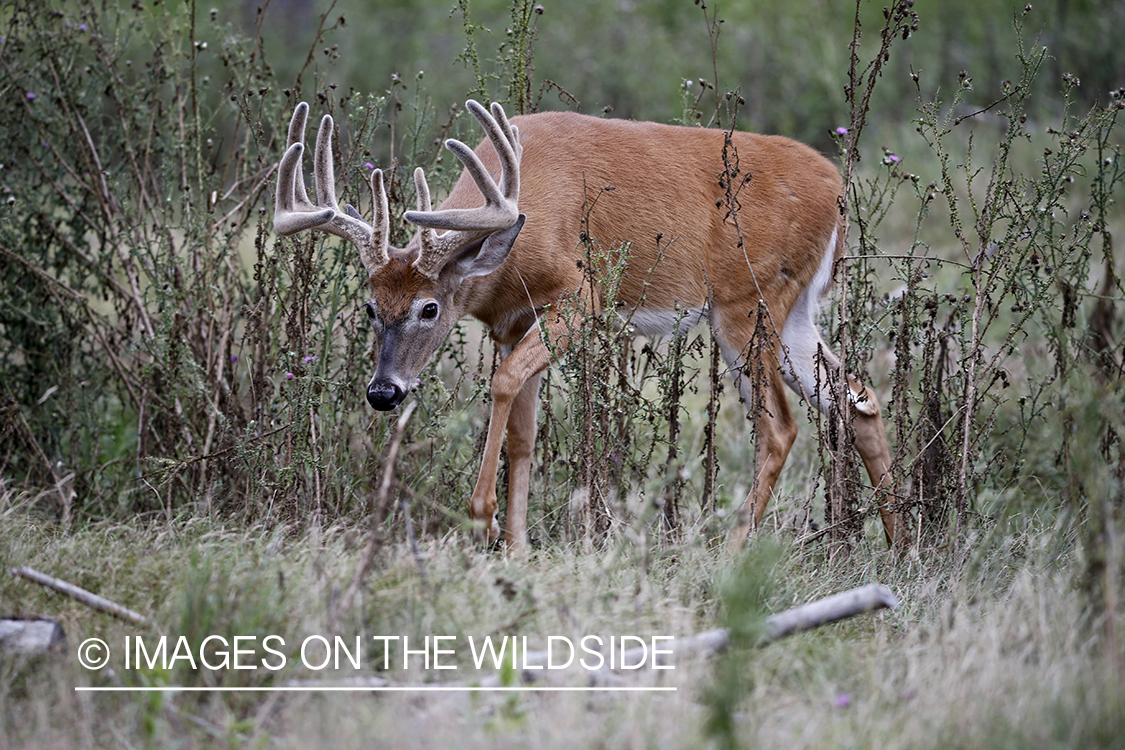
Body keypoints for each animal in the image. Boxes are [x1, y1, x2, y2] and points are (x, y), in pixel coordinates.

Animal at [276, 99, 900, 550]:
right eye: (369, 307)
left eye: (429, 308)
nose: (383, 392)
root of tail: (837, 188)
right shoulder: (514, 321)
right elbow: (524, 433)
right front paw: (519, 547)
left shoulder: (582, 297)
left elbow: (501, 382)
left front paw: (484, 519)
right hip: (794, 313)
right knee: (860, 400)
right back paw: (901, 546)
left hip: (748, 301)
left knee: (781, 428)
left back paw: (730, 555)